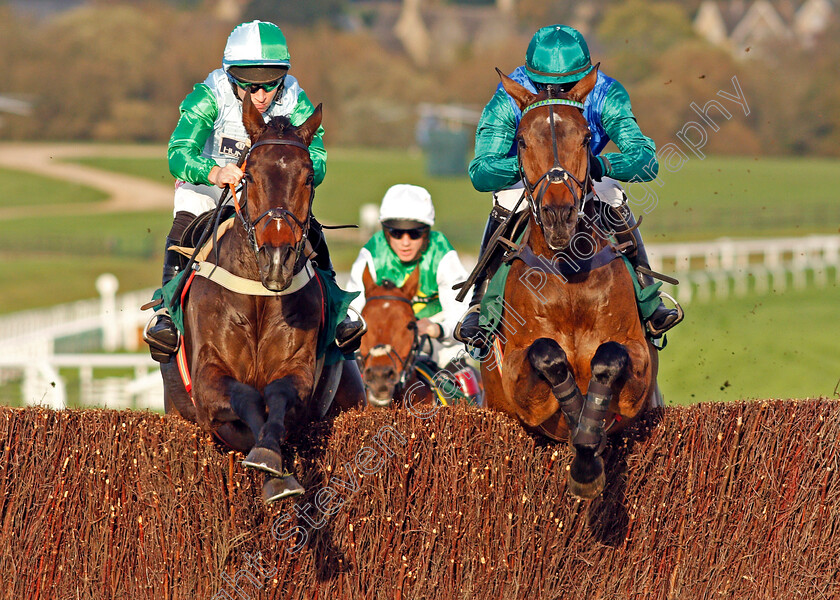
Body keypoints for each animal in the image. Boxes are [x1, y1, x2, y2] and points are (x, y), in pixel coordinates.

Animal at [161, 94, 364, 504]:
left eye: (308, 177)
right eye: (250, 175)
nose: (277, 259)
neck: (259, 294)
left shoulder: (299, 370)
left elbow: (279, 395)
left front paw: (273, 462)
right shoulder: (207, 381)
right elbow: (247, 398)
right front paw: (270, 463)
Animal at [476, 65, 660, 500]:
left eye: (586, 137)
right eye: (521, 140)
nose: (559, 215)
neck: (568, 273)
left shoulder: (638, 367)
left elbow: (610, 356)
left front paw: (588, 448)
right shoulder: (518, 380)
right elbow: (547, 354)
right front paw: (581, 432)